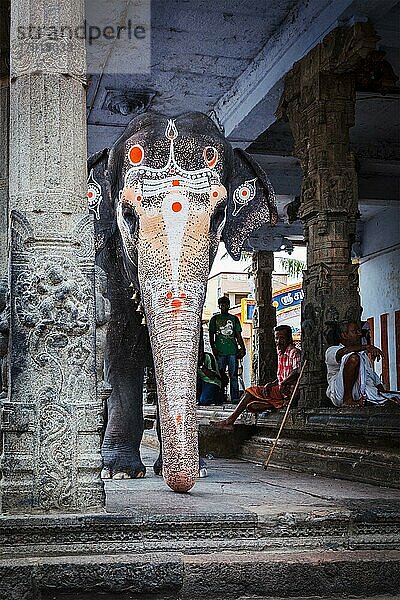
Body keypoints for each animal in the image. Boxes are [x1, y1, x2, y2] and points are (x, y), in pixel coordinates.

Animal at [88, 111, 276, 492]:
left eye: (219, 215)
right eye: (127, 215)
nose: (181, 485)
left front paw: (199, 468)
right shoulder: (109, 265)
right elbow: (121, 346)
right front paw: (117, 472)